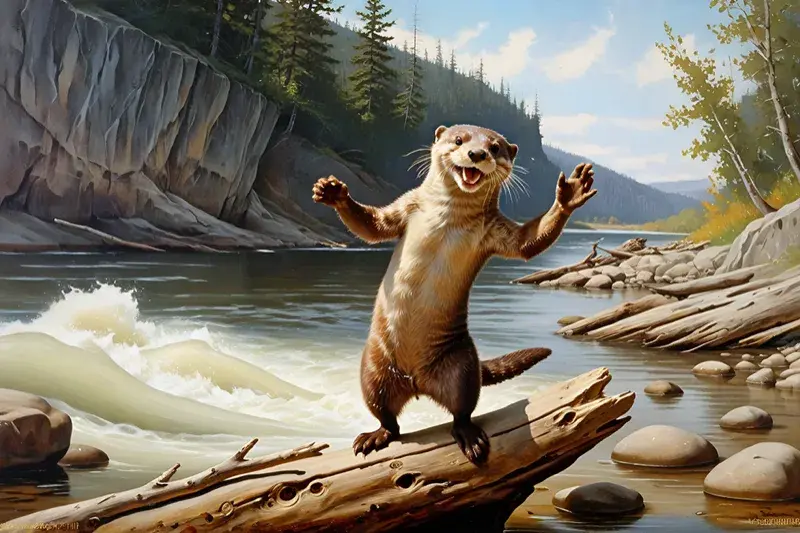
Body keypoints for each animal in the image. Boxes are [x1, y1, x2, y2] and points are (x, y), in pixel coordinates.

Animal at [312, 124, 597, 464]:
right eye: (459, 140)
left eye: (495, 147)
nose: (477, 154)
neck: (447, 217)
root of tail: (416, 381)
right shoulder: (404, 206)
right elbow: (374, 227)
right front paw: (333, 193)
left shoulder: (497, 231)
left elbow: (527, 243)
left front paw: (569, 196)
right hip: (373, 369)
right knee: (387, 416)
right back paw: (375, 435)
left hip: (461, 365)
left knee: (462, 409)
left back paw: (468, 436)